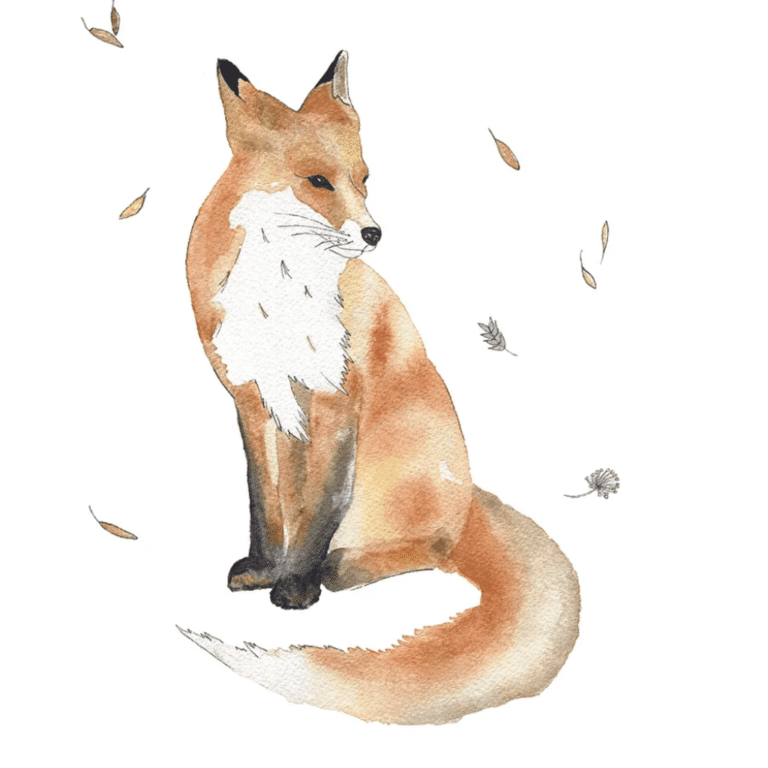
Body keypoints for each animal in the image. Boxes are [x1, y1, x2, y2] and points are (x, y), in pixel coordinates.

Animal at [181, 51, 580, 725]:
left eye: (365, 179)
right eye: (318, 181)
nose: (374, 235)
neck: (274, 297)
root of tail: (471, 495)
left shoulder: (337, 397)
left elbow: (320, 507)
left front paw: (296, 586)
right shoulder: (253, 399)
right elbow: (266, 501)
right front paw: (264, 568)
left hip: (398, 473)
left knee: (432, 547)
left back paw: (341, 568)